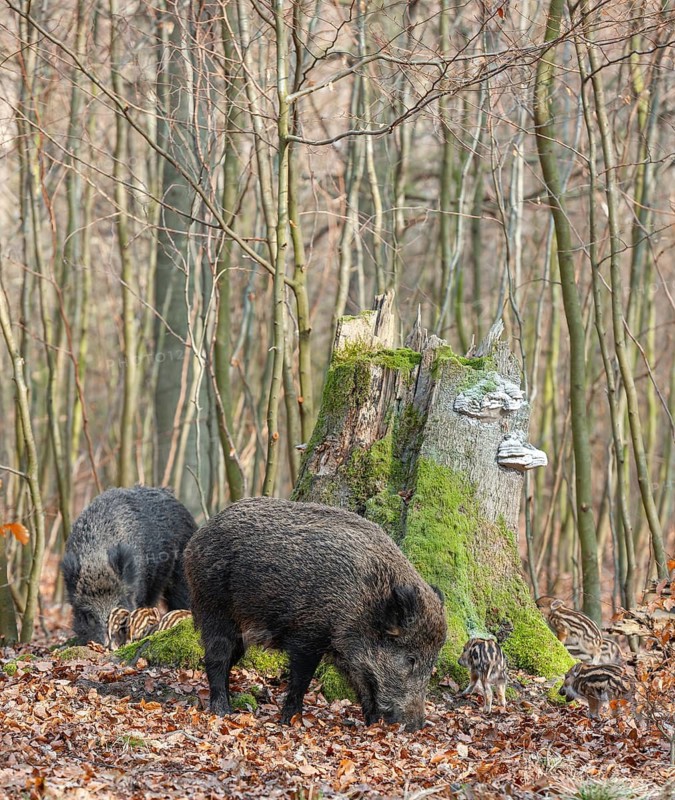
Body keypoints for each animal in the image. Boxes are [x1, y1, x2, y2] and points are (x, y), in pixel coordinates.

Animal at [184, 497, 447, 731]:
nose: (416, 726)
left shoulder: (353, 655)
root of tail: (195, 540)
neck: (365, 603)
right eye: (410, 659)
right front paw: (291, 721)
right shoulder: (307, 636)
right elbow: (302, 680)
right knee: (216, 657)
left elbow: (363, 686)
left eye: (432, 661)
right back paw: (223, 710)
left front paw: (372, 724)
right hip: (214, 606)